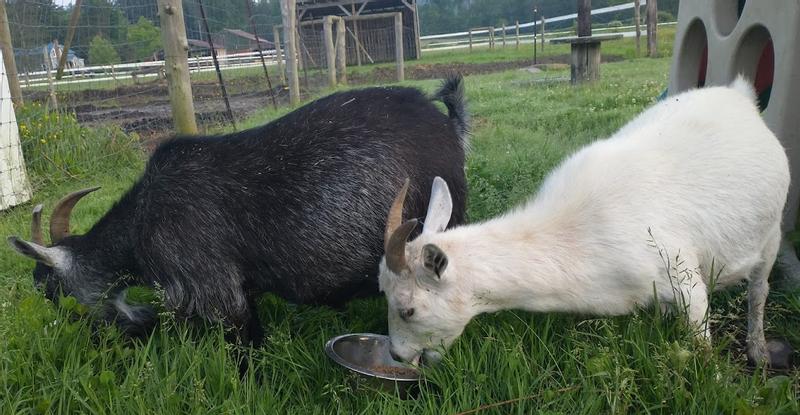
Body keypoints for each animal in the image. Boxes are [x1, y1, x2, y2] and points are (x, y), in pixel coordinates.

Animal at [9, 75, 469, 344]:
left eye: (50, 291)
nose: (92, 339)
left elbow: (242, 349)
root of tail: (447, 124)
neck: (141, 223)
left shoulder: (215, 290)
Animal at [379, 77, 789, 367]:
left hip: (772, 233)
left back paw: (758, 350)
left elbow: (701, 338)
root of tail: (738, 94)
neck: (577, 234)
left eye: (408, 310)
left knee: (759, 289)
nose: (398, 356)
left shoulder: (684, 277)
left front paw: (712, 376)